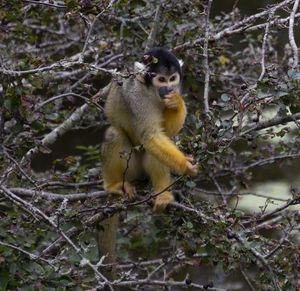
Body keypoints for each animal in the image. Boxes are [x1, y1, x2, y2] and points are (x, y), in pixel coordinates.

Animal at [98, 48, 197, 270]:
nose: (168, 88)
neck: (152, 93)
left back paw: (163, 194)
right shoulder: (136, 96)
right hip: (130, 169)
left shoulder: (176, 90)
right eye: (161, 79)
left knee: (154, 151)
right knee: (116, 134)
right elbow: (150, 134)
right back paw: (114, 185)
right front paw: (184, 166)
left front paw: (176, 104)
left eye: (172, 79)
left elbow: (166, 133)